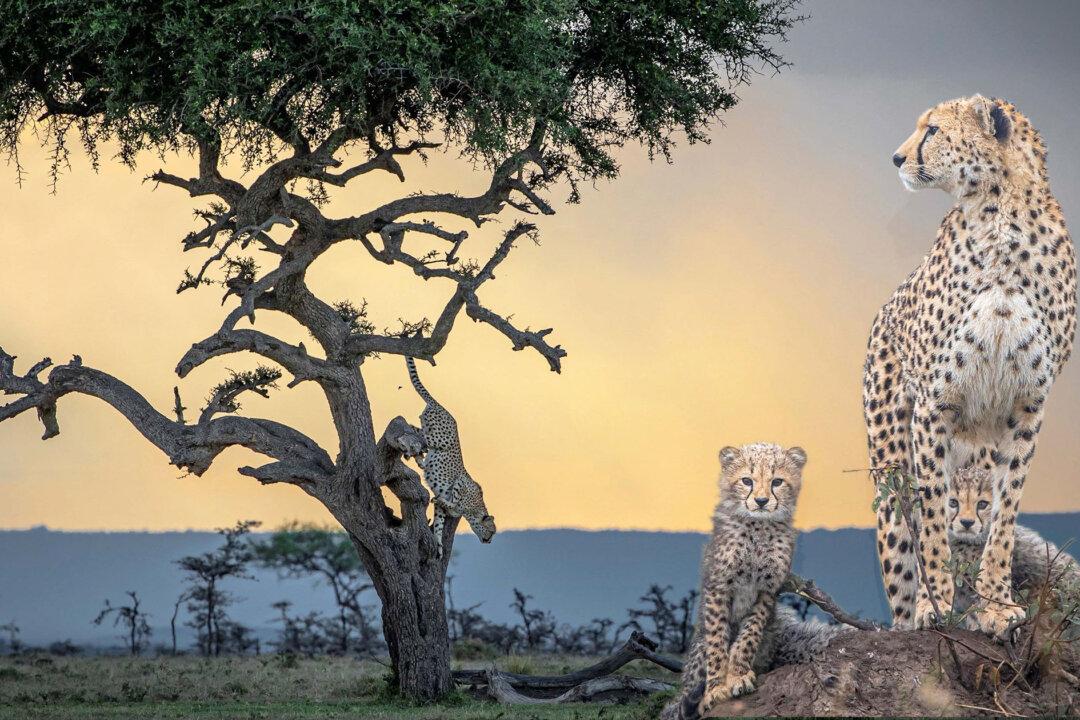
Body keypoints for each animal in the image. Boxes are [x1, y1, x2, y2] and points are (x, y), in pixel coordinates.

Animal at [405, 356, 495, 556]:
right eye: (492, 531)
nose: (489, 541)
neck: (474, 511)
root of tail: (441, 407)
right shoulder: (462, 483)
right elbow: (453, 500)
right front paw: (445, 501)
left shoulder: (441, 509)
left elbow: (440, 522)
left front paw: (438, 544)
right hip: (438, 439)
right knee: (407, 426)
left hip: (429, 435)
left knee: (413, 430)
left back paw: (419, 459)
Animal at [661, 442, 812, 719]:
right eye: (746, 481)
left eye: (777, 481)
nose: (761, 501)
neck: (758, 527)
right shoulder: (719, 585)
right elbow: (718, 639)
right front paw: (716, 688)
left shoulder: (767, 589)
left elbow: (749, 635)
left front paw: (738, 675)